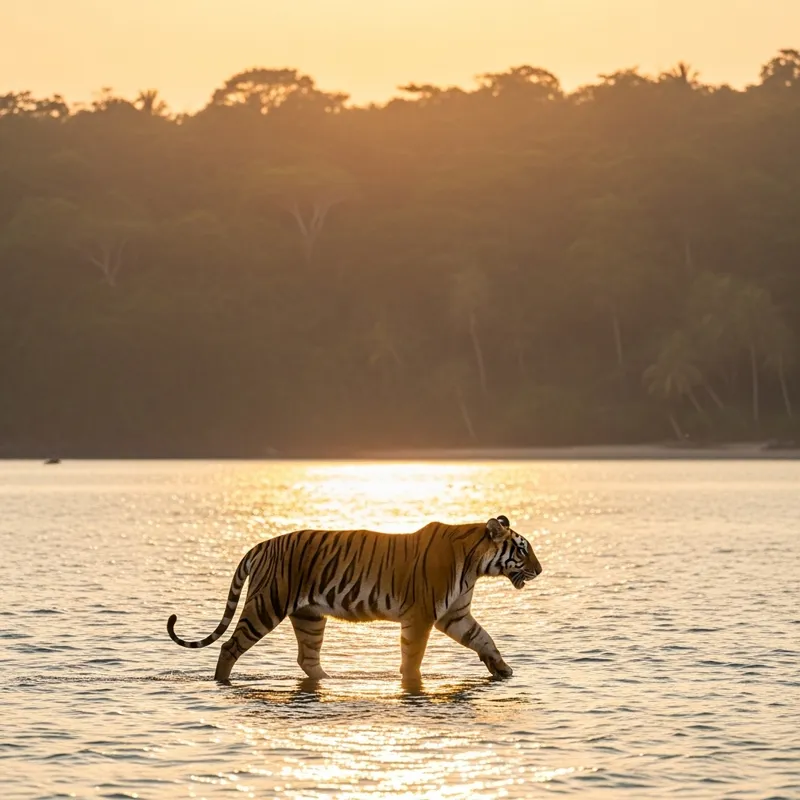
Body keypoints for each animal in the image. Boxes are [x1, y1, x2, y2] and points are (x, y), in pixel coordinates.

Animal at [167, 515, 542, 683]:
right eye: (522, 550)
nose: (540, 570)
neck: (476, 566)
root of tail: (262, 544)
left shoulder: (456, 614)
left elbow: (484, 639)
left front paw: (504, 670)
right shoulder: (421, 616)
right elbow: (413, 656)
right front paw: (411, 682)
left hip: (309, 616)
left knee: (307, 659)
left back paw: (329, 680)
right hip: (267, 605)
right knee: (229, 646)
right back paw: (220, 681)